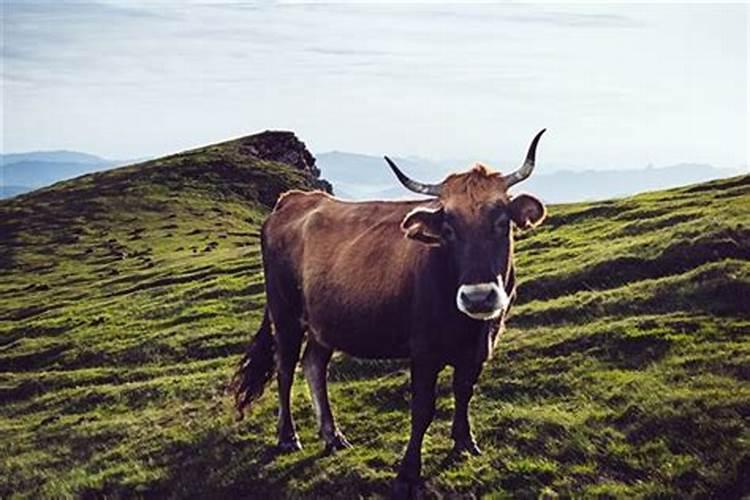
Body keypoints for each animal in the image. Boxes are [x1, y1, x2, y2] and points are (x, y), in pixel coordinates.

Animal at [232, 130, 548, 496]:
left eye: (501, 222)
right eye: (448, 229)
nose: (478, 297)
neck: (466, 327)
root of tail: (293, 200)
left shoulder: (479, 347)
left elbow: (464, 392)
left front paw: (465, 443)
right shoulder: (423, 351)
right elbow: (422, 409)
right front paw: (409, 472)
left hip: (324, 322)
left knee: (313, 365)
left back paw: (333, 435)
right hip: (285, 314)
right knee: (285, 371)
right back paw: (288, 437)